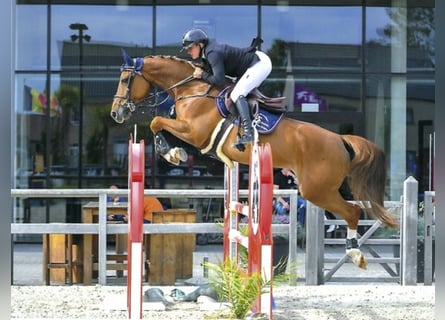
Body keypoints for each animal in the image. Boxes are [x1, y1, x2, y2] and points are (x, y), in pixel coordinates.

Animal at [110, 50, 396, 270]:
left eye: (124, 79)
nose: (115, 113)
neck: (192, 89)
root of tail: (340, 139)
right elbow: (161, 123)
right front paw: (173, 152)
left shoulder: (194, 133)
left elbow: (157, 122)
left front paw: (171, 153)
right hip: (320, 188)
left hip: (316, 189)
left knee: (353, 211)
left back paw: (356, 254)